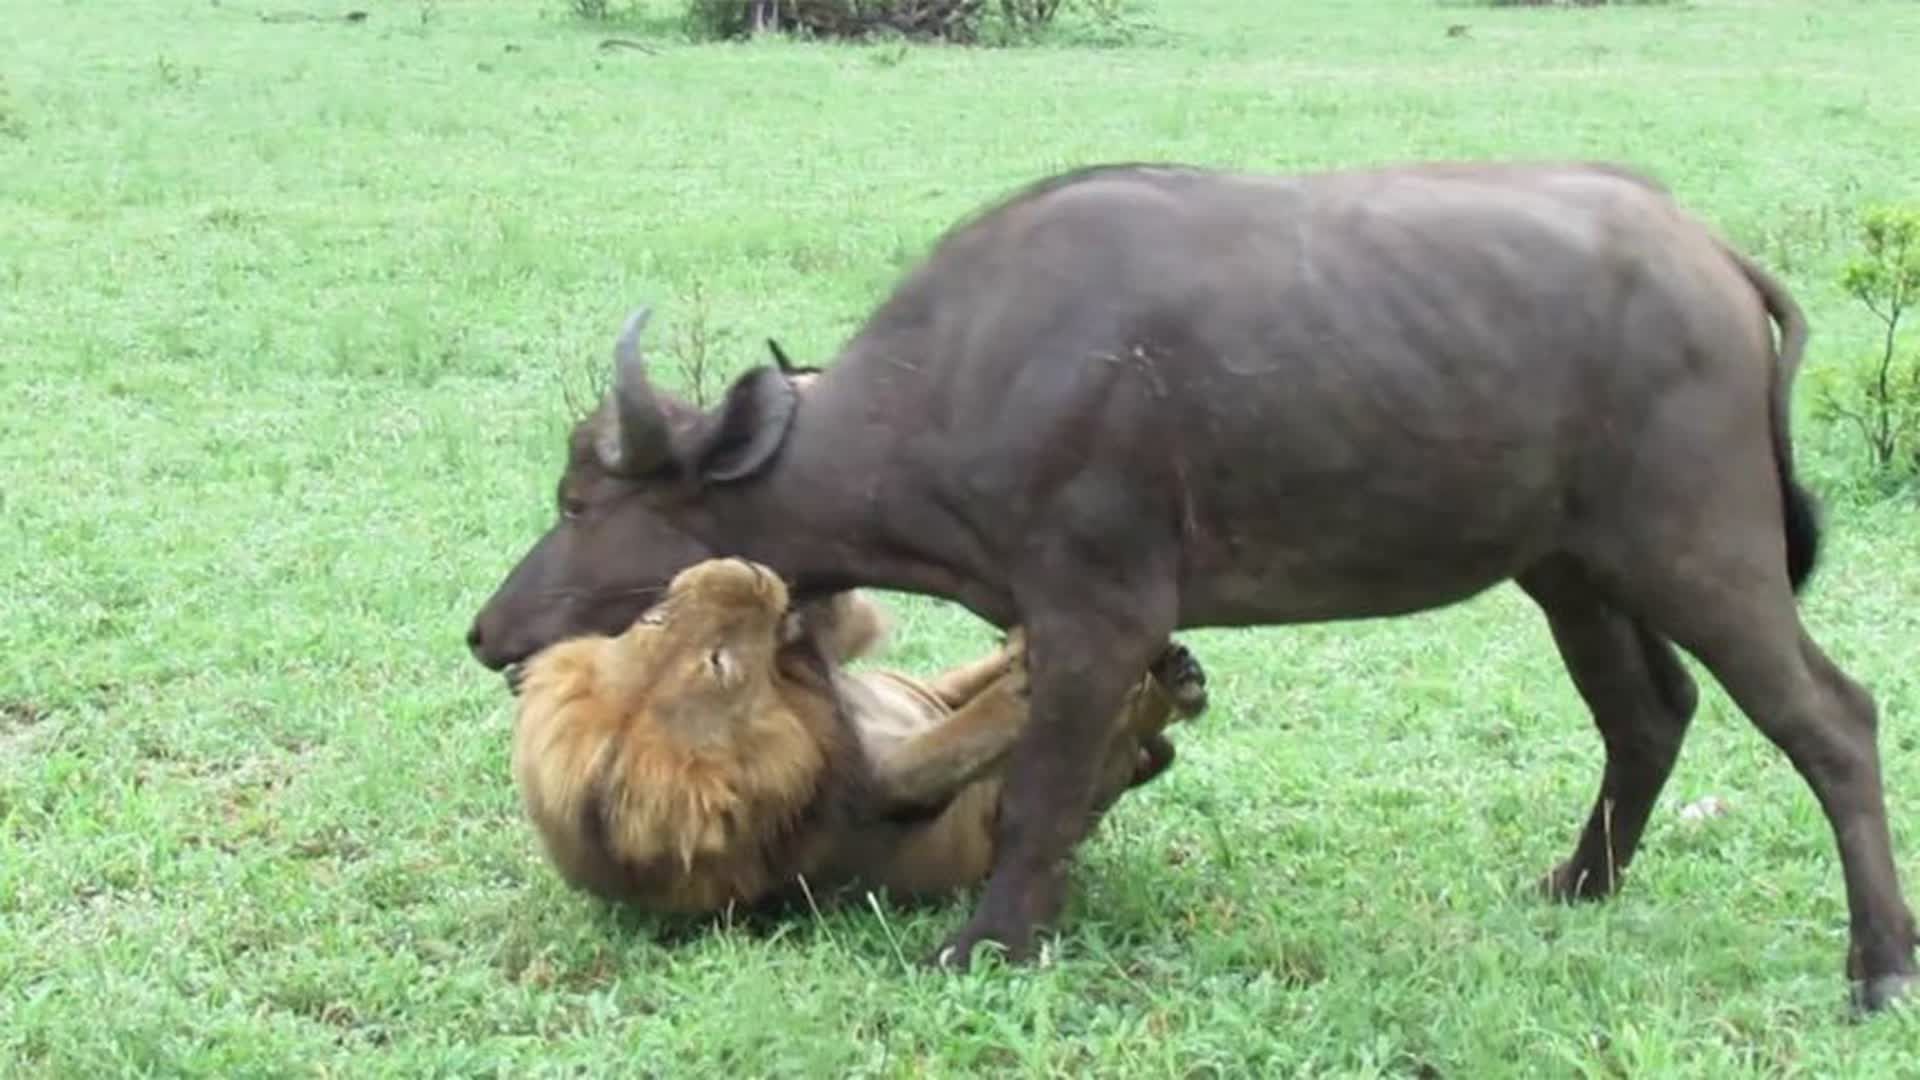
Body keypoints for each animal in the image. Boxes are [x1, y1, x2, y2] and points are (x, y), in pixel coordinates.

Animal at [503, 553, 1205, 914]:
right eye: (718, 665)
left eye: (652, 619)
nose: (745, 566)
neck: (800, 695)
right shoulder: (886, 790)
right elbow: (960, 738)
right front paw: (1029, 679)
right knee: (1114, 753)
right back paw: (1163, 689)